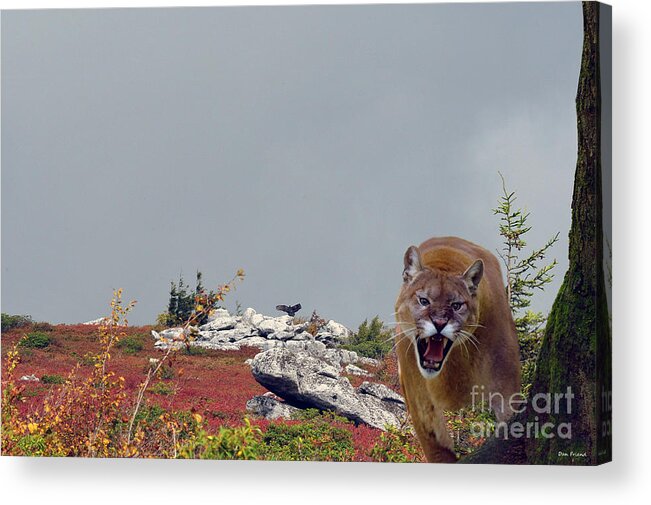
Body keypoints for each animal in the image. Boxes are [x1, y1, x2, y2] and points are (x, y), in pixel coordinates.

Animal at [394, 236, 524, 460]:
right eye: (424, 300)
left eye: (456, 305)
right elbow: (437, 447)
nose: (439, 323)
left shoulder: (506, 385)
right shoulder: (419, 398)